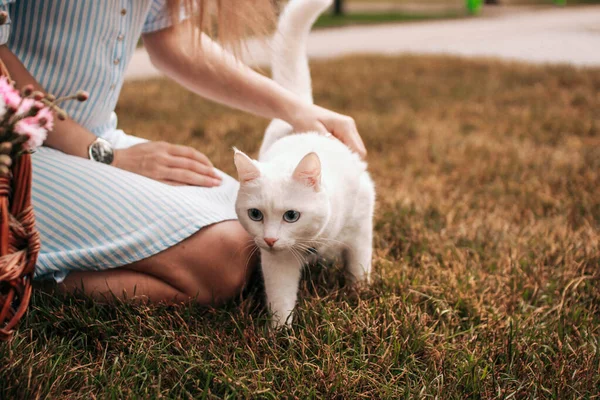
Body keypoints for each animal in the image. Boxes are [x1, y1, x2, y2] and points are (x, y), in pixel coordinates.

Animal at [231, 0, 376, 328]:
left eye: (291, 216)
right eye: (255, 214)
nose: (270, 238)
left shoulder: (361, 228)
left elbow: (359, 265)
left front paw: (359, 294)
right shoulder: (278, 260)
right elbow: (281, 296)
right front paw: (279, 333)